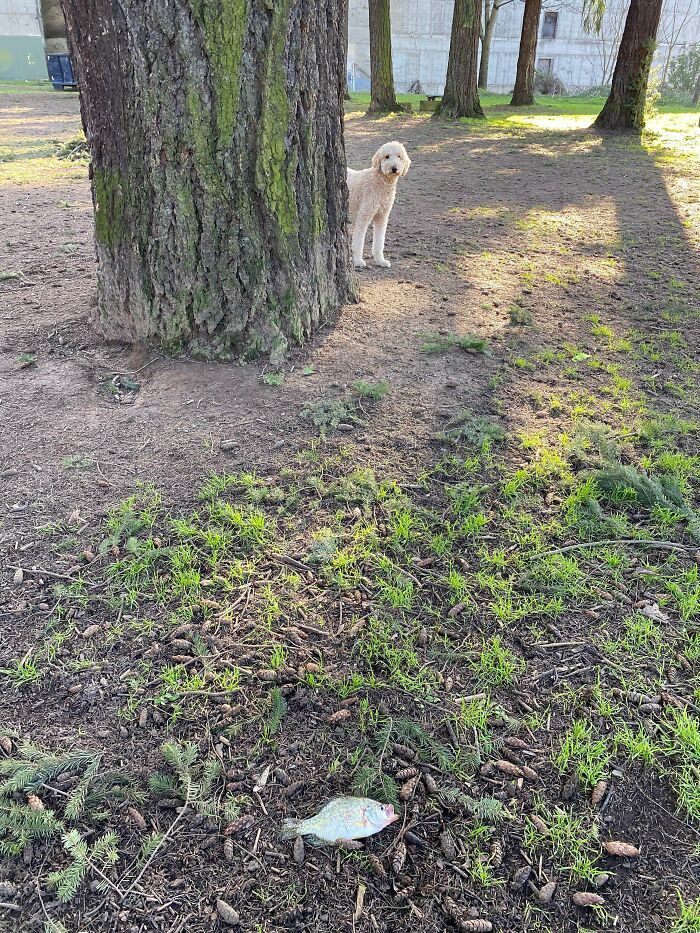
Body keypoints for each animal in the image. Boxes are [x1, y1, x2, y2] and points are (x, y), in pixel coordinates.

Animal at [346, 140, 410, 268]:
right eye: (387, 156)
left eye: (399, 156)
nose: (394, 168)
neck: (380, 181)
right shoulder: (364, 215)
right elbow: (358, 241)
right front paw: (358, 261)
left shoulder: (382, 217)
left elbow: (379, 242)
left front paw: (381, 260)